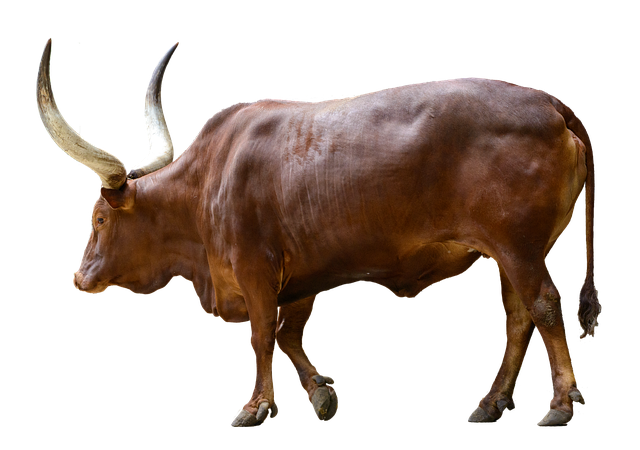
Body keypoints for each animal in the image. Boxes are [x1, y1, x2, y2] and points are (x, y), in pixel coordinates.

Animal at [36, 38, 601, 427]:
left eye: (99, 218)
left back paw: (557, 404)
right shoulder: (305, 273)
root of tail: (548, 104)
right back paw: (492, 402)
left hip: (518, 246)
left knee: (544, 307)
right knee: (520, 316)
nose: (80, 276)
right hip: (508, 252)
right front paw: (322, 394)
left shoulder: (255, 269)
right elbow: (289, 333)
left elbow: (263, 333)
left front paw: (256, 405)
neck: (208, 181)